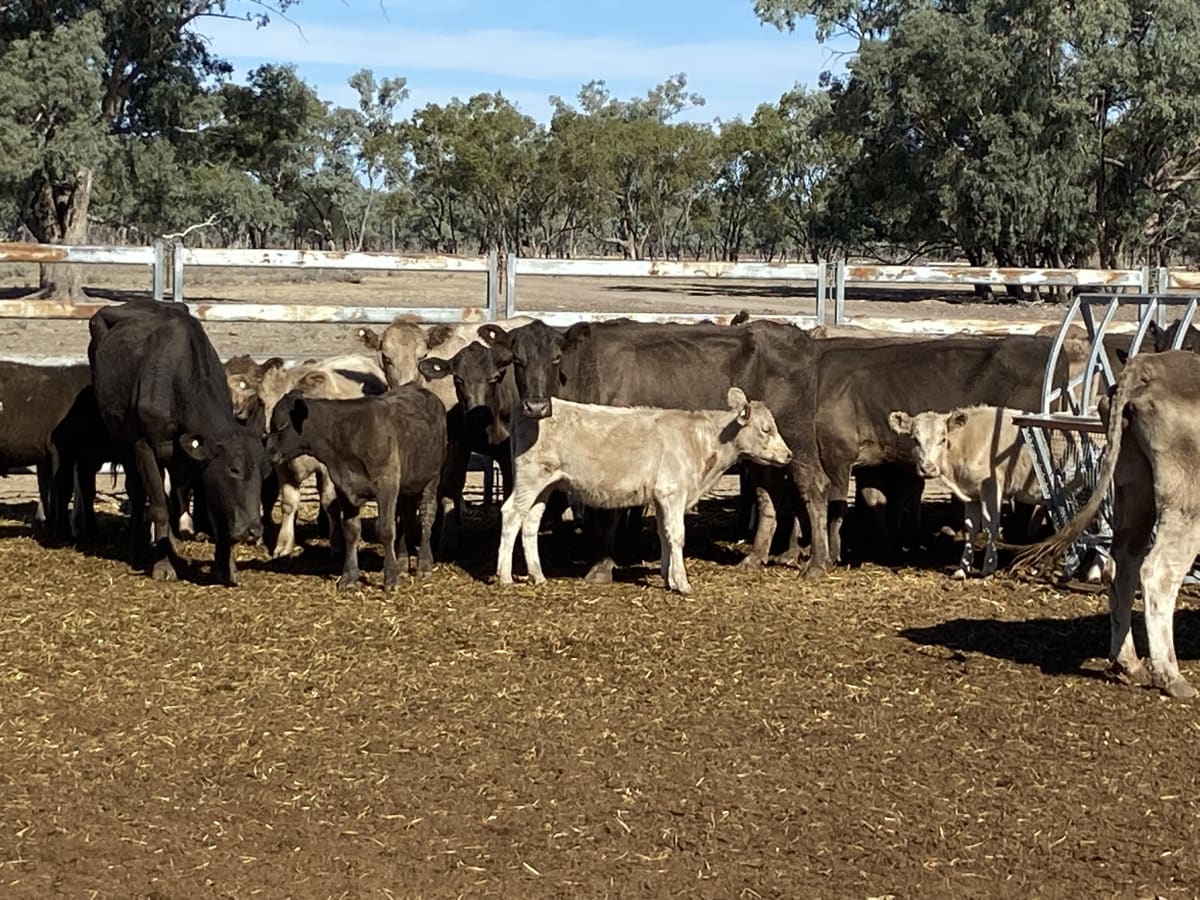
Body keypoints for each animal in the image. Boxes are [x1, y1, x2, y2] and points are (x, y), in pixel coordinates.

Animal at [89, 300, 267, 584]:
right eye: (234, 469)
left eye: (264, 471)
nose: (253, 530)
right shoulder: (144, 446)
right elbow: (158, 505)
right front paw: (164, 565)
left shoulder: (198, 459)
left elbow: (211, 509)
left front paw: (226, 566)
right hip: (121, 441)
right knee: (138, 492)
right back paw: (138, 547)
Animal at [266, 384, 447, 591]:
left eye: (282, 425)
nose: (269, 453)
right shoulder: (343, 488)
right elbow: (351, 531)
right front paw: (349, 577)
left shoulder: (386, 485)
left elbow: (386, 530)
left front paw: (390, 579)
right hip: (406, 487)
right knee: (406, 517)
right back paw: (401, 561)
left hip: (432, 479)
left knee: (427, 514)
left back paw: (424, 564)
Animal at [497, 387, 793, 594]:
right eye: (766, 429)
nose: (789, 455)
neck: (700, 441)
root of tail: (529, 408)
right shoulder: (673, 492)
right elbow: (678, 535)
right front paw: (683, 583)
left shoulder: (662, 497)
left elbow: (664, 534)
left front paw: (668, 578)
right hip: (530, 478)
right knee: (511, 515)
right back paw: (504, 576)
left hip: (545, 486)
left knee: (530, 521)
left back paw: (538, 576)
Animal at [888, 405, 1044, 578]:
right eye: (915, 439)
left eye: (943, 439)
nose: (928, 469)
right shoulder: (972, 494)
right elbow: (970, 528)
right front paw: (963, 569)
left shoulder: (991, 487)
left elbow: (990, 526)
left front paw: (988, 568)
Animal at [1020, 351, 1200, 699]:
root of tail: (1148, 365)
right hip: (1187, 499)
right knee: (1158, 573)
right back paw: (1170, 677)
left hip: (1133, 484)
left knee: (1121, 566)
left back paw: (1128, 663)